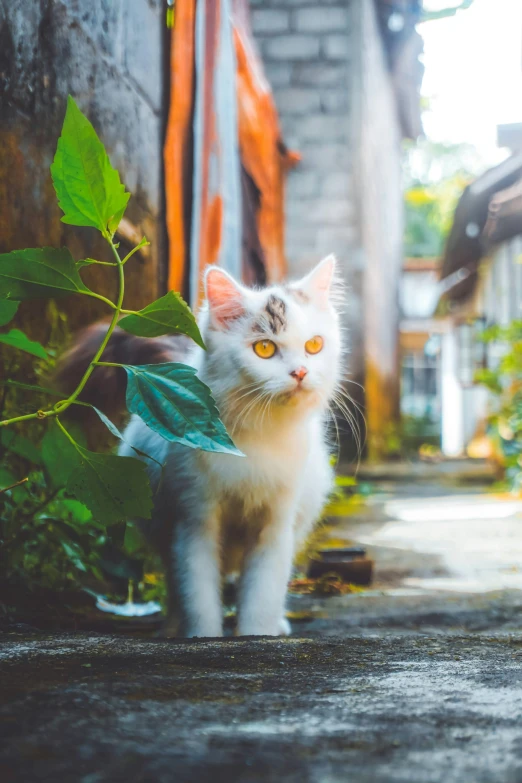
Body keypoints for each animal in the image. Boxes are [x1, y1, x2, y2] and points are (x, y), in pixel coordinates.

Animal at [120, 254, 344, 640]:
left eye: (314, 345)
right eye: (264, 348)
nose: (300, 372)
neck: (257, 437)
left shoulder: (276, 523)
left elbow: (264, 591)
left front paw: (258, 633)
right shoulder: (193, 519)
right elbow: (197, 592)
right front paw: (202, 636)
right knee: (177, 583)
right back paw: (173, 626)